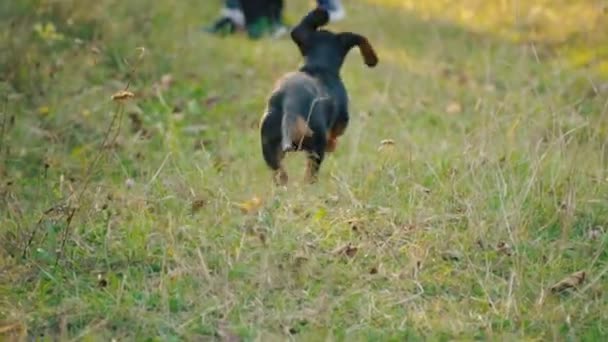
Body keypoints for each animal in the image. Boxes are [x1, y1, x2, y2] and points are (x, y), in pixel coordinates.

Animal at [258, 7, 378, 184]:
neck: (318, 66)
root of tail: (290, 104)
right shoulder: (341, 121)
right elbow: (335, 135)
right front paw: (333, 145)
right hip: (316, 146)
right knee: (310, 172)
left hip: (269, 147)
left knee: (280, 173)